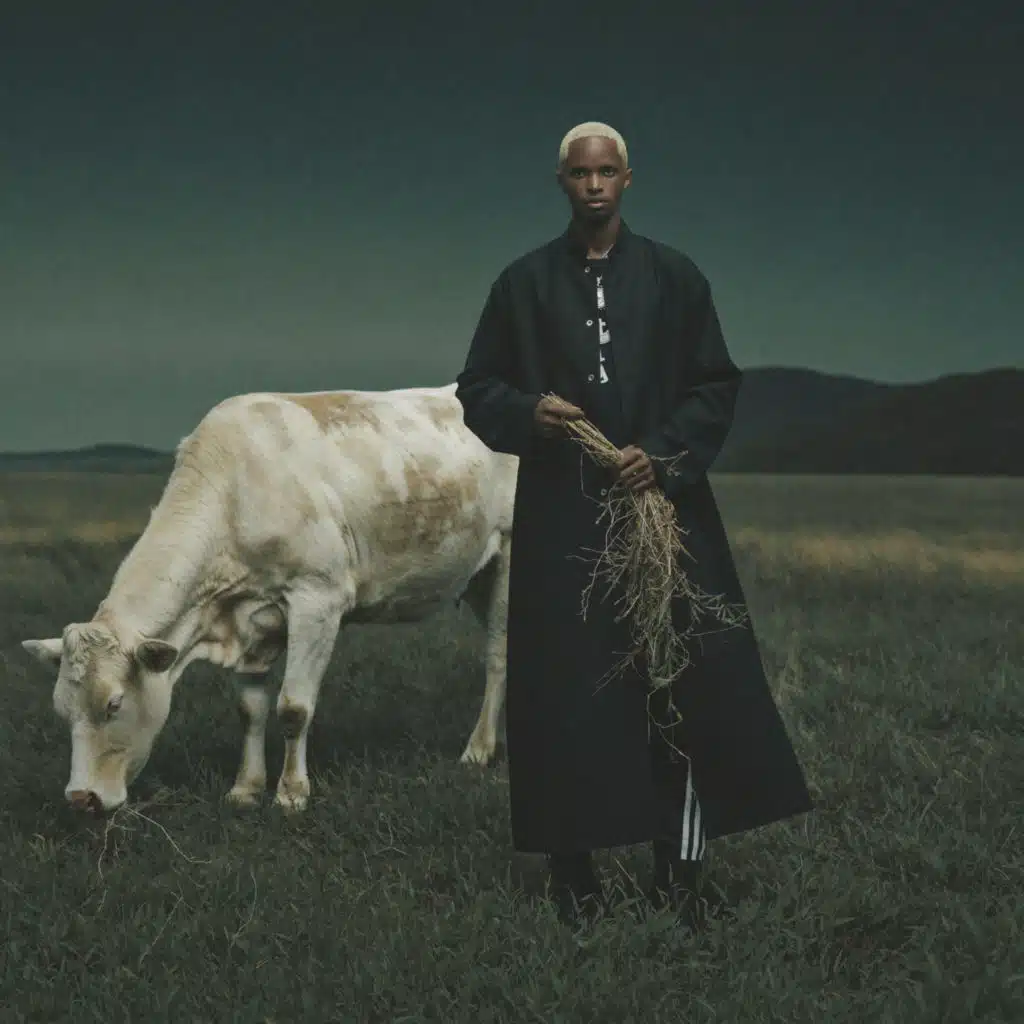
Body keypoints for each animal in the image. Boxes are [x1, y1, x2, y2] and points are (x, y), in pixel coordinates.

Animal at [21, 384, 517, 814]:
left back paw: (478, 749)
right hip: (477, 576)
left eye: (114, 704)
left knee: (497, 657)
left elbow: (293, 707)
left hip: (508, 565)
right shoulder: (251, 619)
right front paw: (246, 788)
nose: (80, 798)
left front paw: (291, 794)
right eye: (61, 709)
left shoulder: (319, 599)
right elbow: (251, 710)